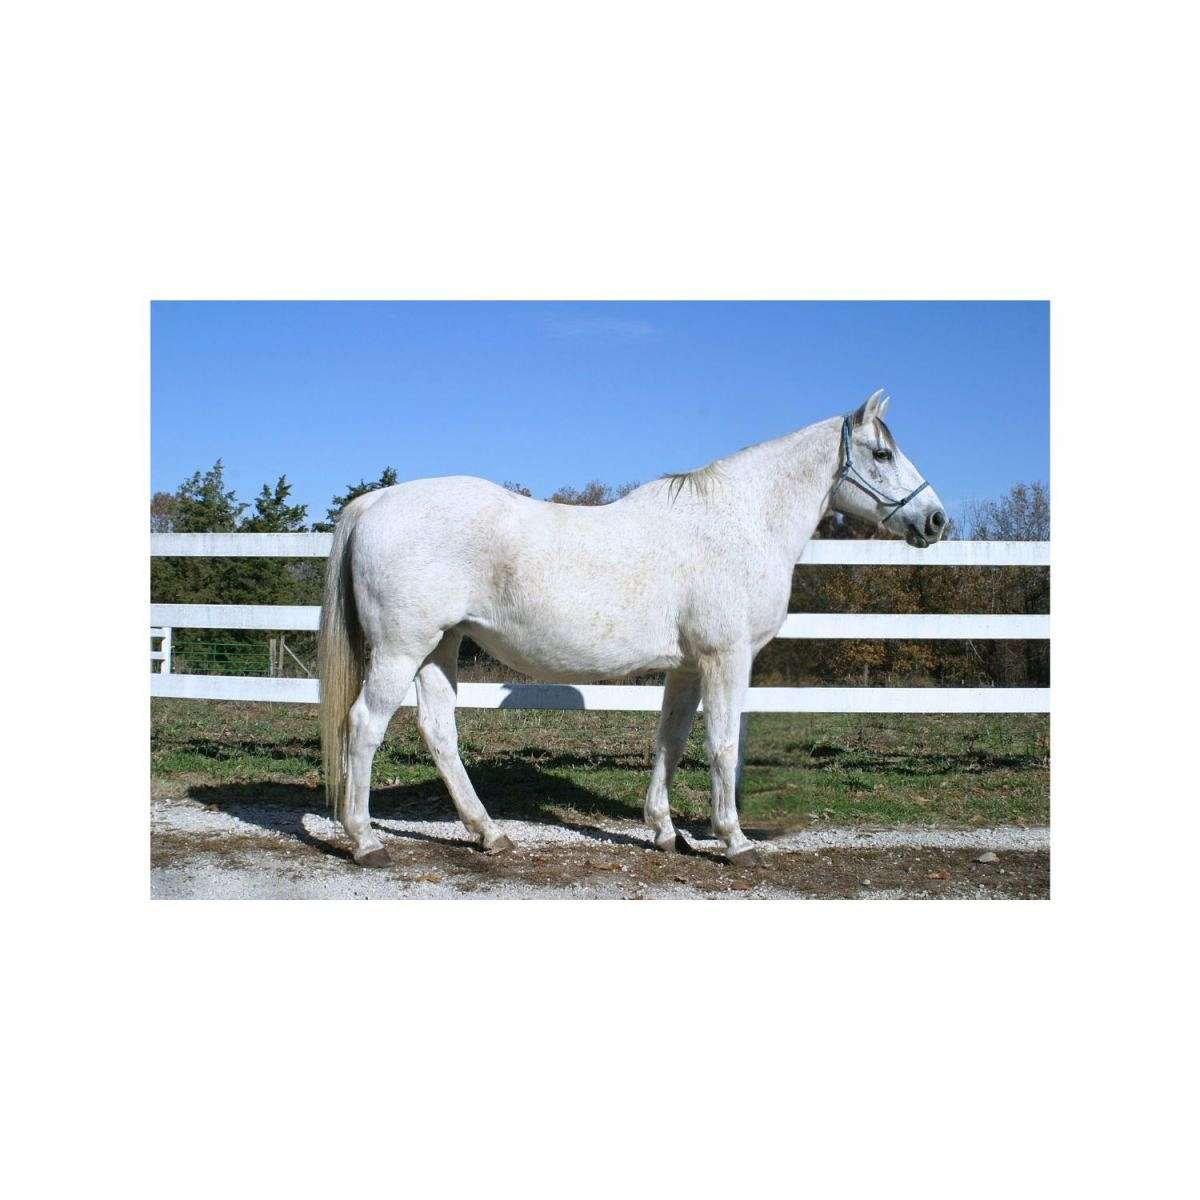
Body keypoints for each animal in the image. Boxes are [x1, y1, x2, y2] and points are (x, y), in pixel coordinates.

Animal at [318, 389, 946, 868]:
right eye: (882, 453)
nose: (936, 520)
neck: (738, 522)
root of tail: (375, 503)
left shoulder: (688, 666)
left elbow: (671, 740)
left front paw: (667, 832)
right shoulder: (726, 658)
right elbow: (722, 744)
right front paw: (734, 840)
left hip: (440, 646)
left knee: (439, 732)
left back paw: (490, 833)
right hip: (402, 649)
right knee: (364, 724)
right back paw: (366, 841)